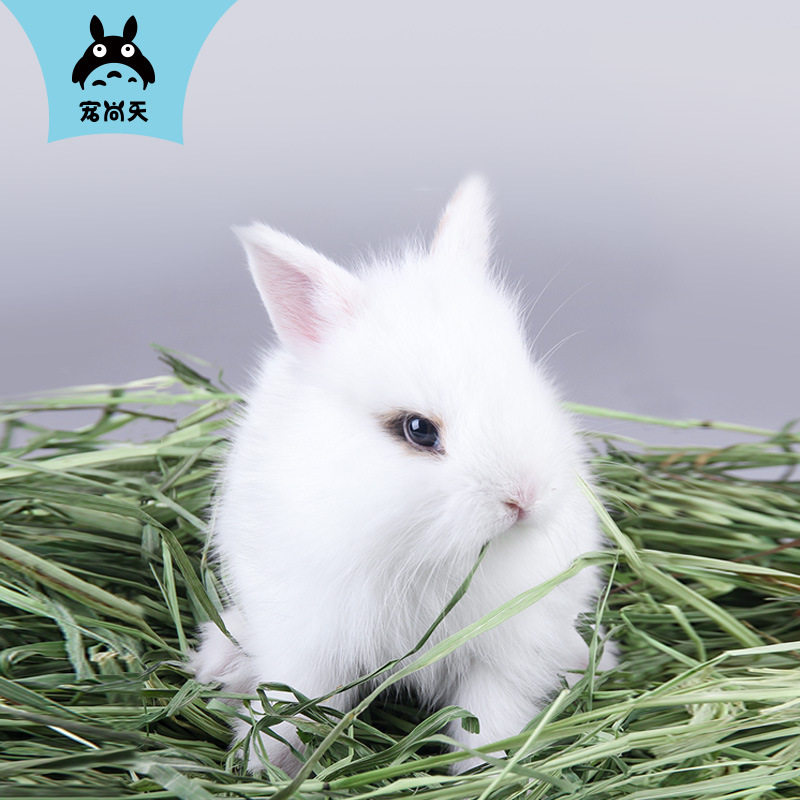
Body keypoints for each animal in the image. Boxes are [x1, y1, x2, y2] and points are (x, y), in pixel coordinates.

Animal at [191, 176, 615, 774]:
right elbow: (292, 710)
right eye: (417, 429)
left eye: (527, 379)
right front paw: (269, 766)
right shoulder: (310, 641)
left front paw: (482, 773)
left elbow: (488, 719)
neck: (428, 552)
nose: (525, 498)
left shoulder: (504, 652)